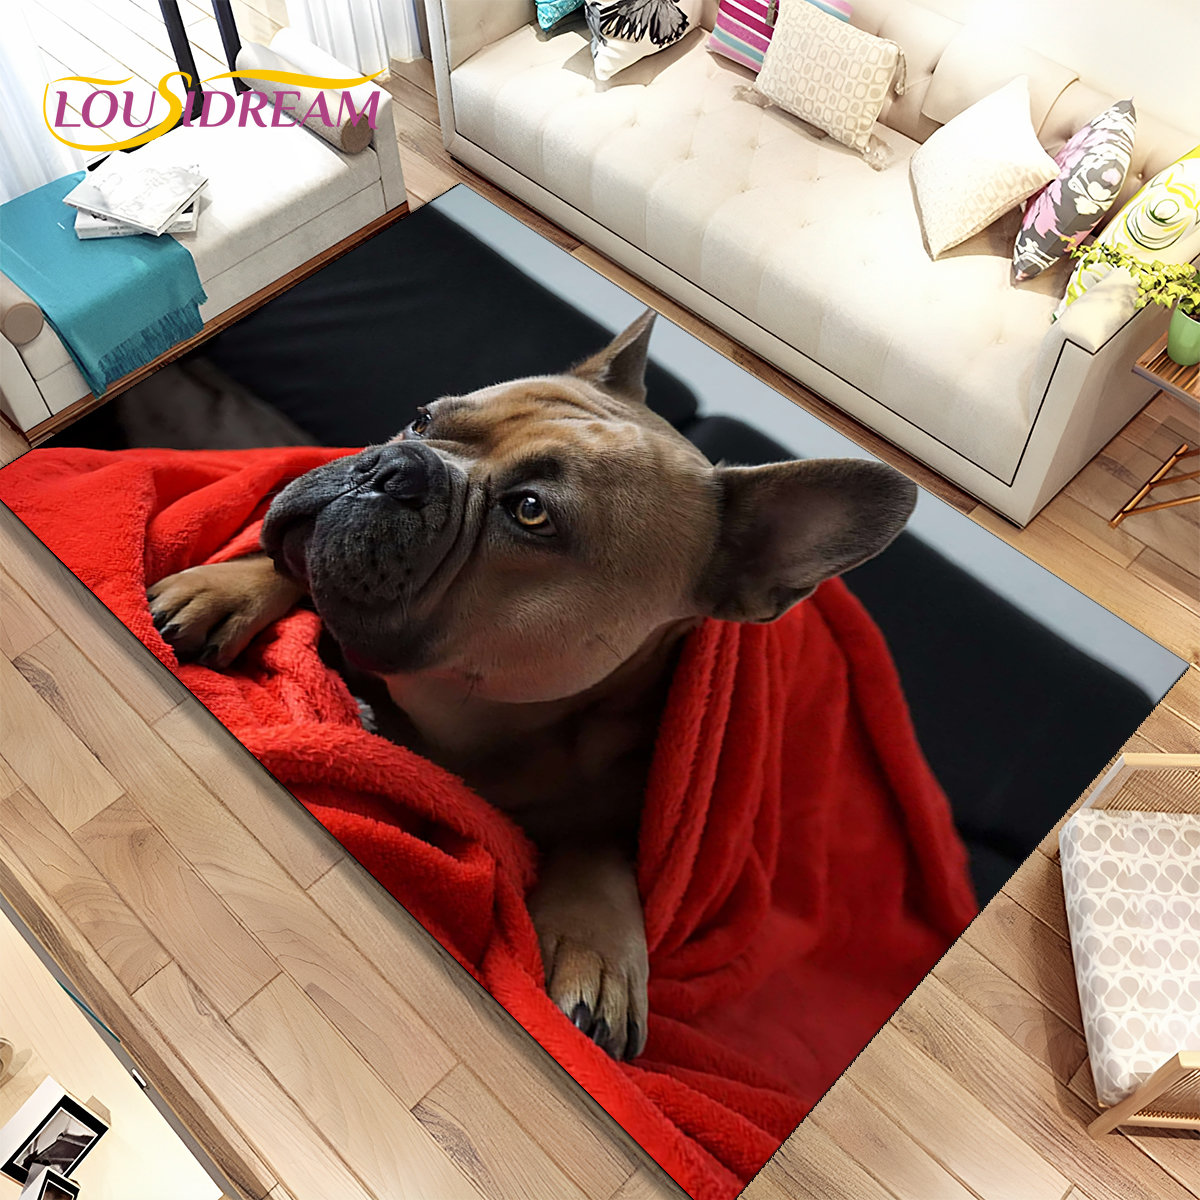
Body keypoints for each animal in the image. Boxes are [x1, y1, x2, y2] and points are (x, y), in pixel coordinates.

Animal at [148, 309, 917, 1061]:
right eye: (421, 418)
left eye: (529, 511)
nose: (392, 464)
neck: (468, 718)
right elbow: (294, 572)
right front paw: (227, 585)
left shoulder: (624, 810)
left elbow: (596, 852)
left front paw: (596, 946)